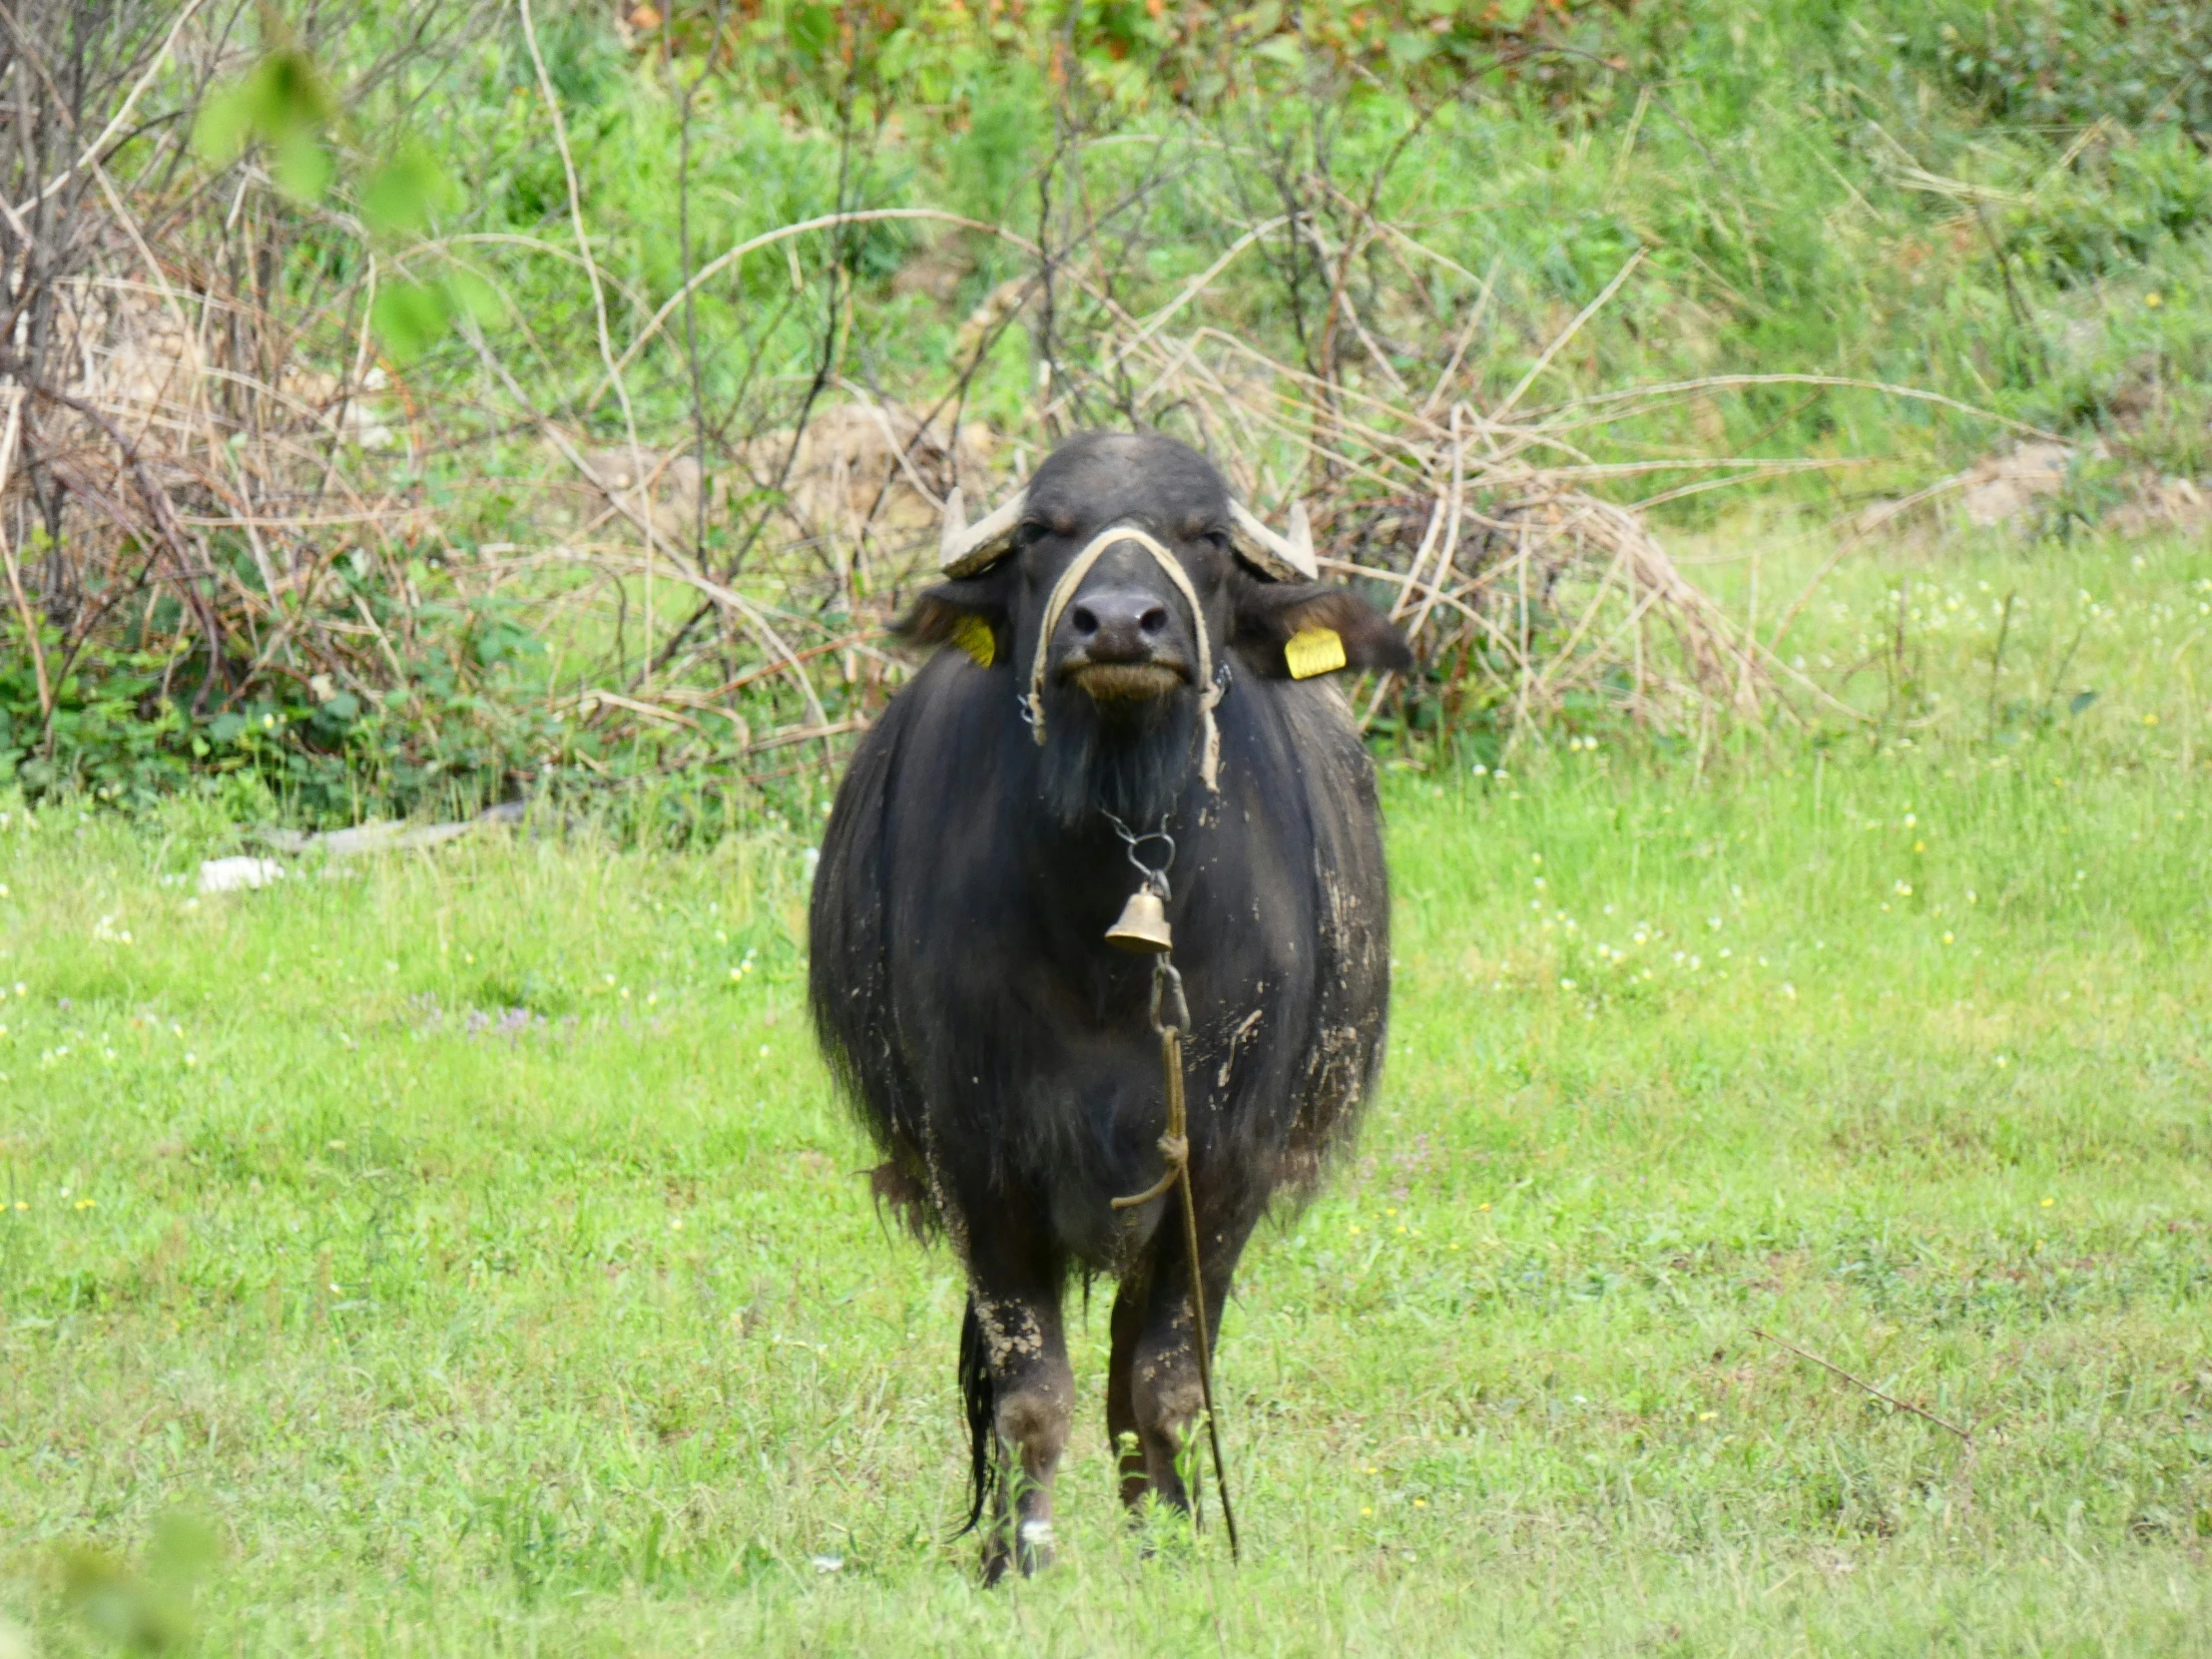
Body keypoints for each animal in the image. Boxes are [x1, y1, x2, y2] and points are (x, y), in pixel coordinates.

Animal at [805, 431, 1406, 1583]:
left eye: (1204, 535)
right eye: (1047, 529)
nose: (1122, 624)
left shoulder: (1222, 1167)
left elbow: (1166, 1381)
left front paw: (1172, 1542)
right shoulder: (977, 1158)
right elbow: (1030, 1390)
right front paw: (1018, 1558)